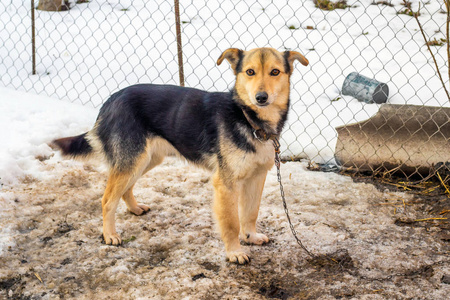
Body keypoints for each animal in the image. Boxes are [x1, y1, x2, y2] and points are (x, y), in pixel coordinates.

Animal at [51, 45, 308, 264]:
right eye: (250, 72)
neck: (247, 118)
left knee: (125, 189)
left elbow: (250, 213)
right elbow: (232, 222)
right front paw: (234, 252)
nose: (261, 97)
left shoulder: (256, 177)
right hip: (132, 159)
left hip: (145, 159)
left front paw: (251, 237)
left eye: (275, 72)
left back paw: (134, 208)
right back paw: (109, 235)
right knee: (107, 200)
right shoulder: (226, 184)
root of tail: (111, 99)